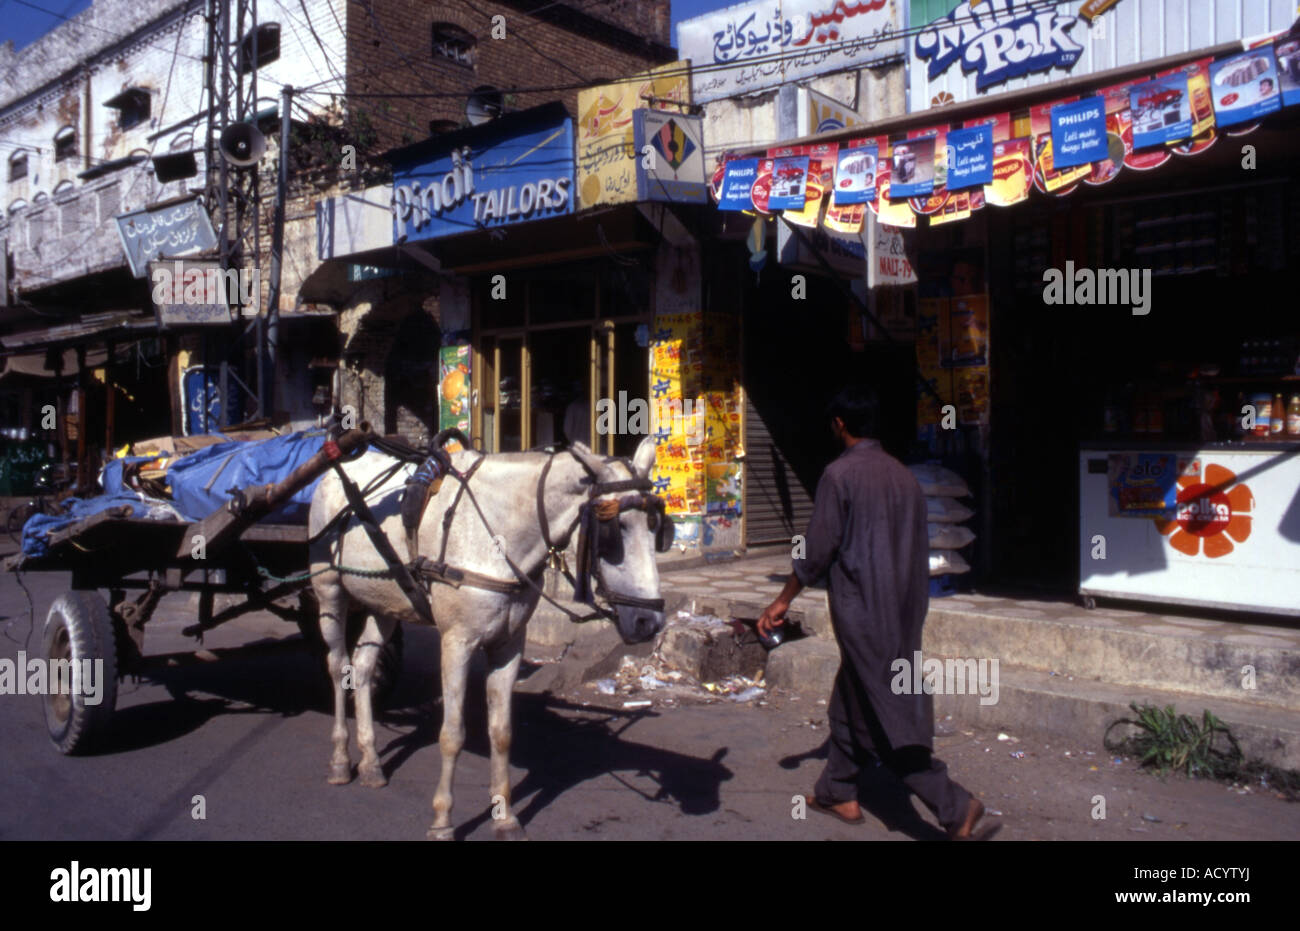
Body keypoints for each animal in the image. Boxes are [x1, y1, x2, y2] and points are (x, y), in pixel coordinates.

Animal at [308, 439, 665, 842]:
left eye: (656, 528)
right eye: (613, 530)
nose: (649, 621)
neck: (498, 536)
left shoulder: (508, 646)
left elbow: (502, 732)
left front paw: (505, 817)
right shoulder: (456, 643)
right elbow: (452, 734)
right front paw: (443, 820)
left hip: (386, 601)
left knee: (364, 667)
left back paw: (370, 761)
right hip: (329, 591)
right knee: (338, 667)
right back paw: (341, 759)